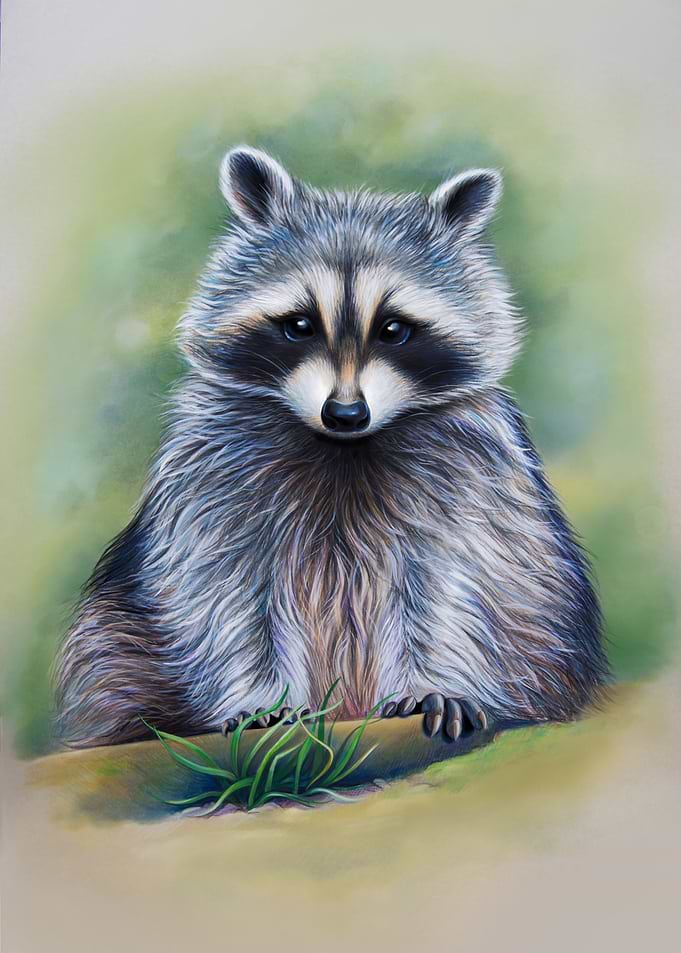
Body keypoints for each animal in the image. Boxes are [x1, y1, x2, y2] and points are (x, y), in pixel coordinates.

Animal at [54, 146, 608, 748]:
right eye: (299, 325)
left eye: (394, 329)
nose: (345, 413)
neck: (344, 447)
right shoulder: (212, 480)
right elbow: (229, 596)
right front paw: (261, 695)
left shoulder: (468, 481)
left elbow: (452, 585)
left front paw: (434, 680)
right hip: (114, 640)